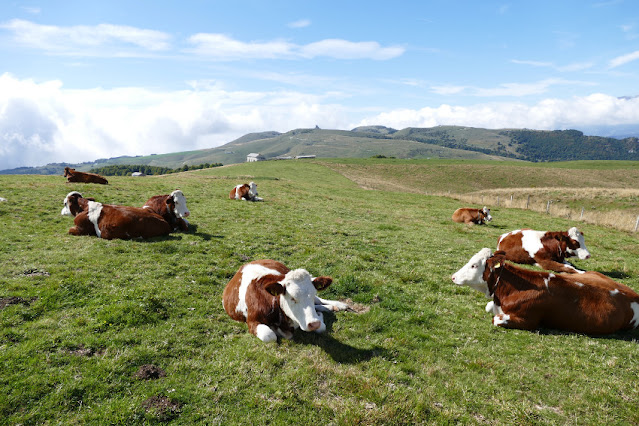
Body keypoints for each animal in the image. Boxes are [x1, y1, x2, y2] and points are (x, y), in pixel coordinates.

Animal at [224, 260, 356, 342]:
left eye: (313, 294)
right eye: (292, 298)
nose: (314, 323)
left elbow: (322, 327)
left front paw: (320, 316)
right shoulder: (252, 321)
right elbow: (269, 336)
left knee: (319, 302)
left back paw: (338, 305)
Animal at [452, 248, 639, 334]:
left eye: (474, 265)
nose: (453, 277)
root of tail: (634, 295)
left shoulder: (527, 320)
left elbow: (496, 319)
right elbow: (488, 307)